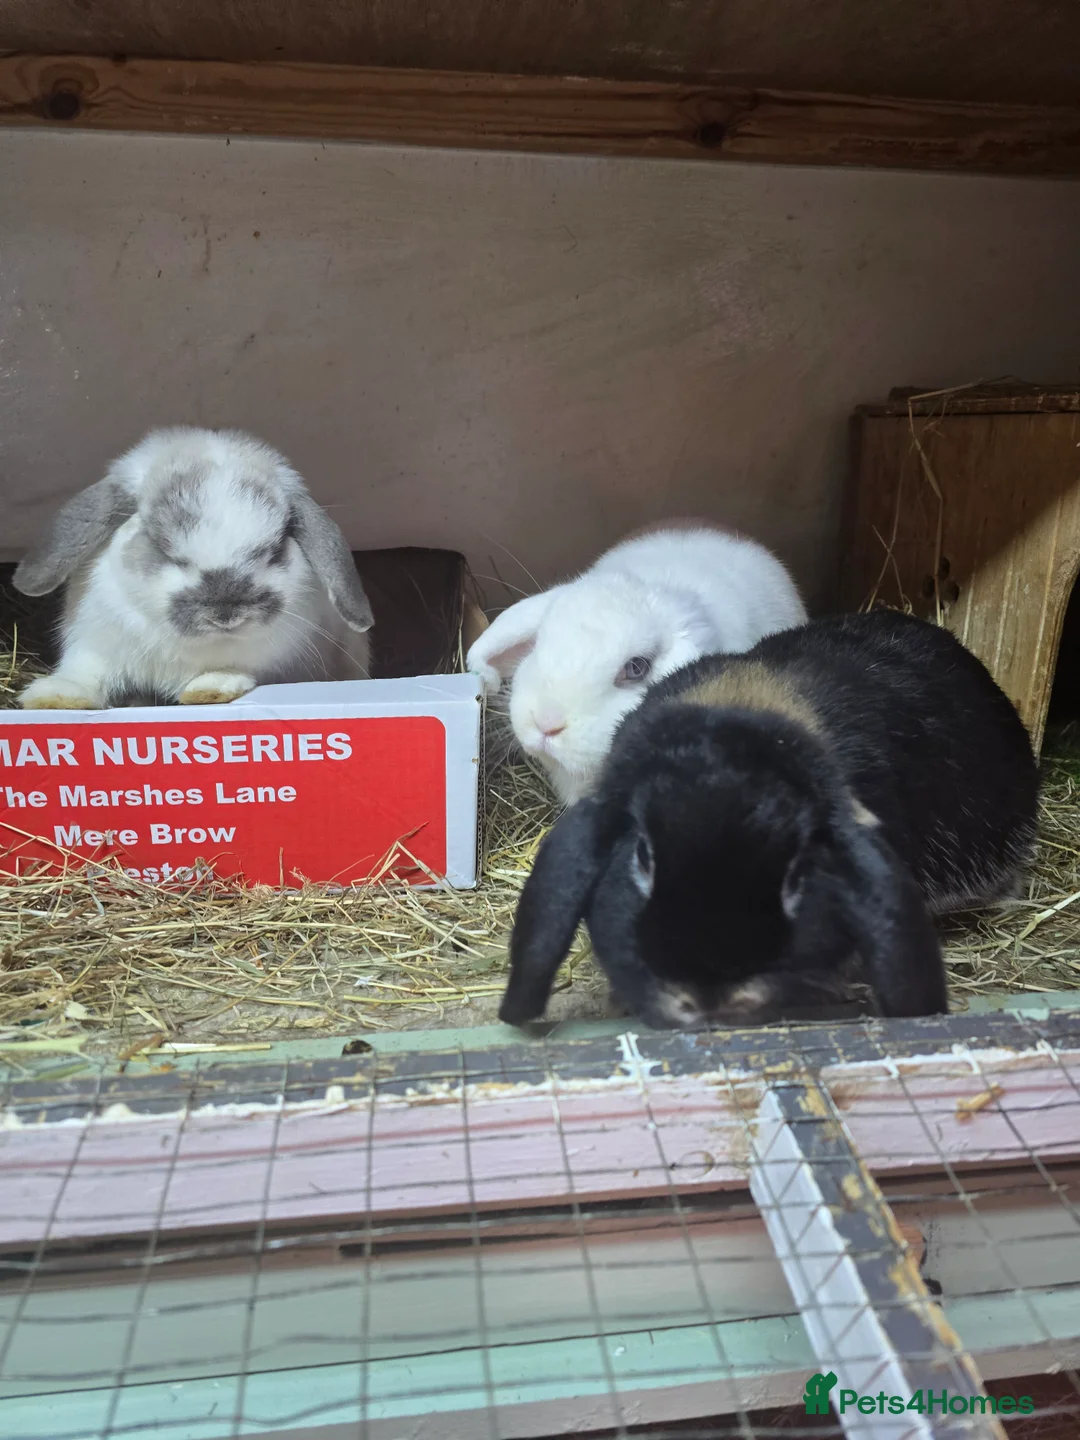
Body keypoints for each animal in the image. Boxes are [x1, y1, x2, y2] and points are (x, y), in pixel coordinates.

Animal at [13, 426, 373, 710]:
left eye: (274, 549)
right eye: (163, 547)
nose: (226, 614)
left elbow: (232, 671)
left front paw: (210, 690)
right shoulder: (93, 644)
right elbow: (87, 673)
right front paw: (54, 697)